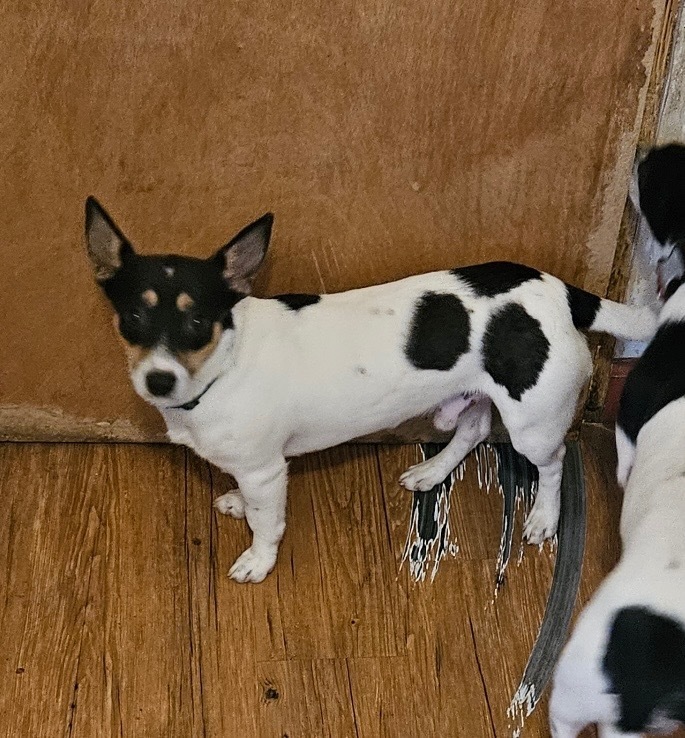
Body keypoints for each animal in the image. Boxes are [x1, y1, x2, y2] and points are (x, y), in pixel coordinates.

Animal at [87, 198, 656, 584]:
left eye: (196, 321)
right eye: (133, 316)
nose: (158, 380)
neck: (222, 363)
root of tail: (562, 292)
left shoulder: (267, 470)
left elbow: (267, 523)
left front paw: (258, 559)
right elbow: (249, 503)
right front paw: (237, 505)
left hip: (533, 424)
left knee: (553, 462)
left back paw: (542, 518)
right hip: (477, 396)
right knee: (472, 431)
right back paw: (433, 471)